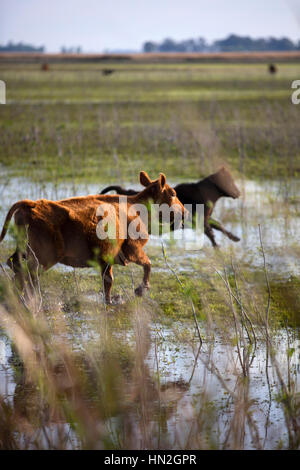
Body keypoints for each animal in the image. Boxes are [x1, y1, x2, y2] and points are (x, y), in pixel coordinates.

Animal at [0, 172, 185, 302]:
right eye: (173, 193)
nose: (185, 212)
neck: (136, 208)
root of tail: (31, 204)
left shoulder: (107, 260)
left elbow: (108, 281)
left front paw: (110, 300)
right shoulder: (133, 249)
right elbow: (147, 264)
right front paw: (141, 289)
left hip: (25, 250)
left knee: (15, 267)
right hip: (43, 257)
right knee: (27, 274)